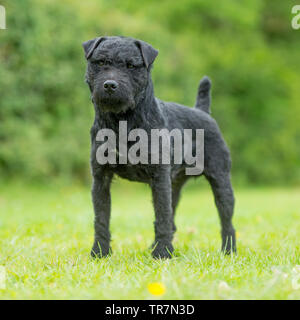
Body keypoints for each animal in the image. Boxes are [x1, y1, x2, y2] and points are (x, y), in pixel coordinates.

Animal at [82, 36, 237, 258]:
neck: (123, 121)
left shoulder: (159, 177)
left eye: (131, 65)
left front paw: (162, 253)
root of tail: (202, 111)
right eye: (101, 62)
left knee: (226, 220)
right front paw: (100, 252)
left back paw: (228, 250)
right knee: (172, 219)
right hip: (175, 185)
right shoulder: (101, 177)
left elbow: (162, 215)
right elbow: (101, 218)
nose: (110, 84)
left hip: (220, 180)